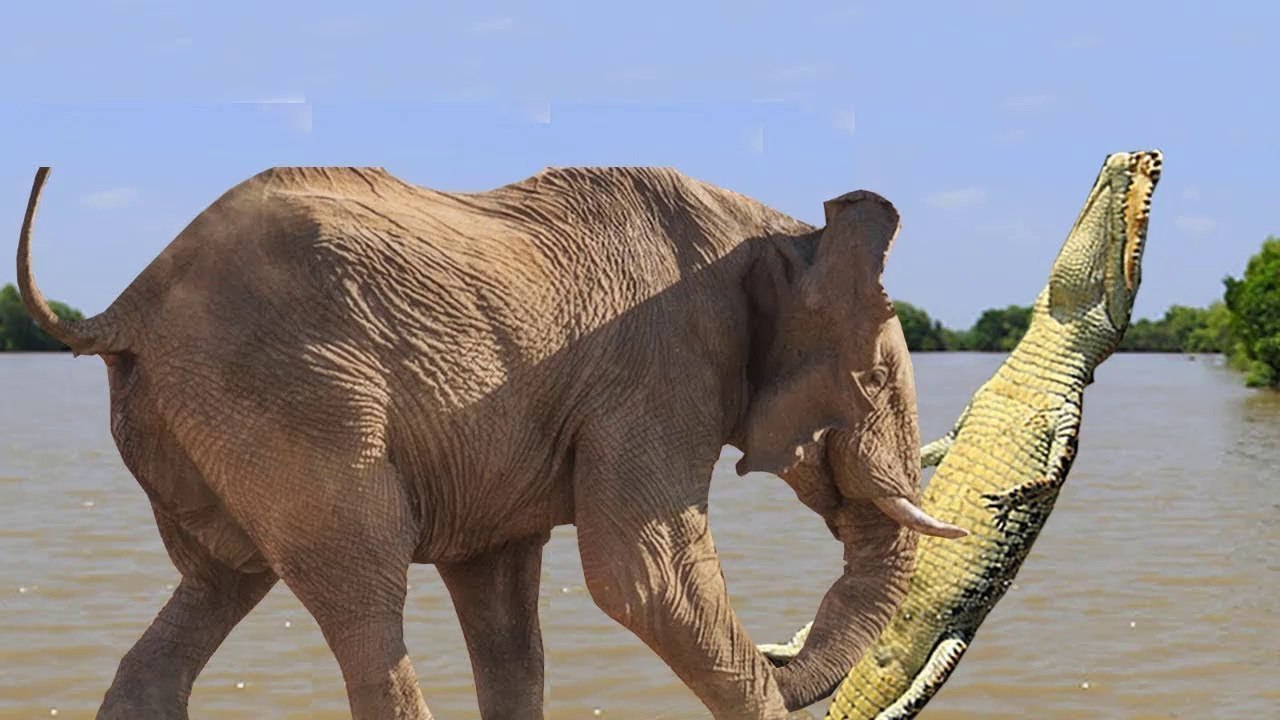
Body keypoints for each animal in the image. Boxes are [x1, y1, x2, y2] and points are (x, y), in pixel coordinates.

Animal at [16, 165, 966, 719]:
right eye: (879, 382)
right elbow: (643, 581)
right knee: (363, 596)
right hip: (290, 399)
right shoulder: (659, 371)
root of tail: (128, 305)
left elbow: (507, 613)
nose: (782, 647)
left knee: (217, 583)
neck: (779, 227)